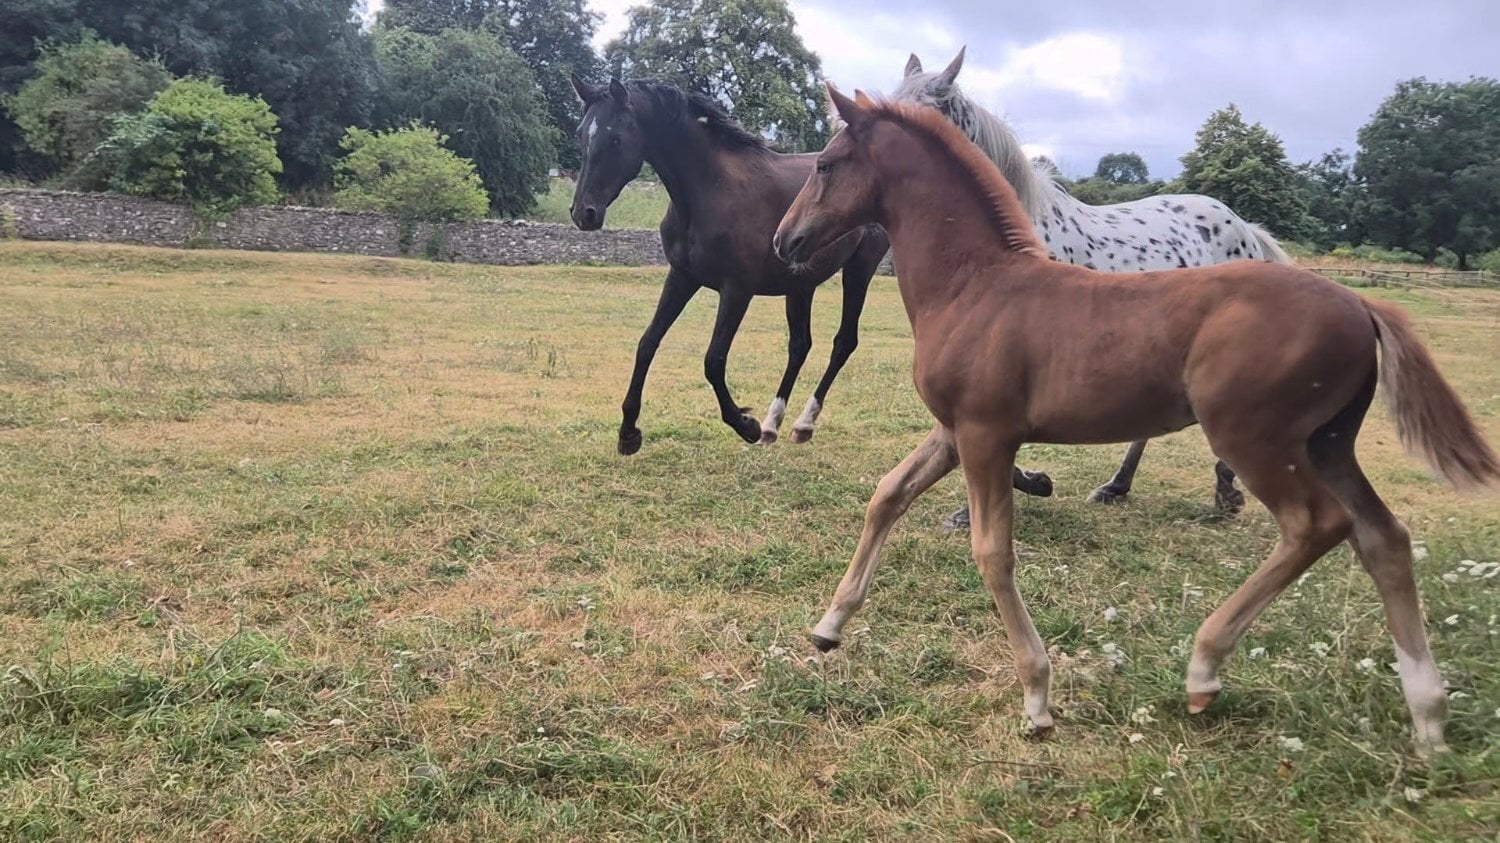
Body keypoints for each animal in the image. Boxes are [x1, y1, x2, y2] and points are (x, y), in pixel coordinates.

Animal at [566, 75, 889, 454]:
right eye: (580, 133)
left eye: (615, 137)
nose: (583, 213)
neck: (711, 189)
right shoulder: (682, 277)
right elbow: (647, 343)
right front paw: (629, 432)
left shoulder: (737, 290)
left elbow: (713, 361)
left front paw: (744, 424)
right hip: (800, 284)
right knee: (800, 346)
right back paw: (772, 424)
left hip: (860, 269)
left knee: (843, 343)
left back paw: (802, 423)